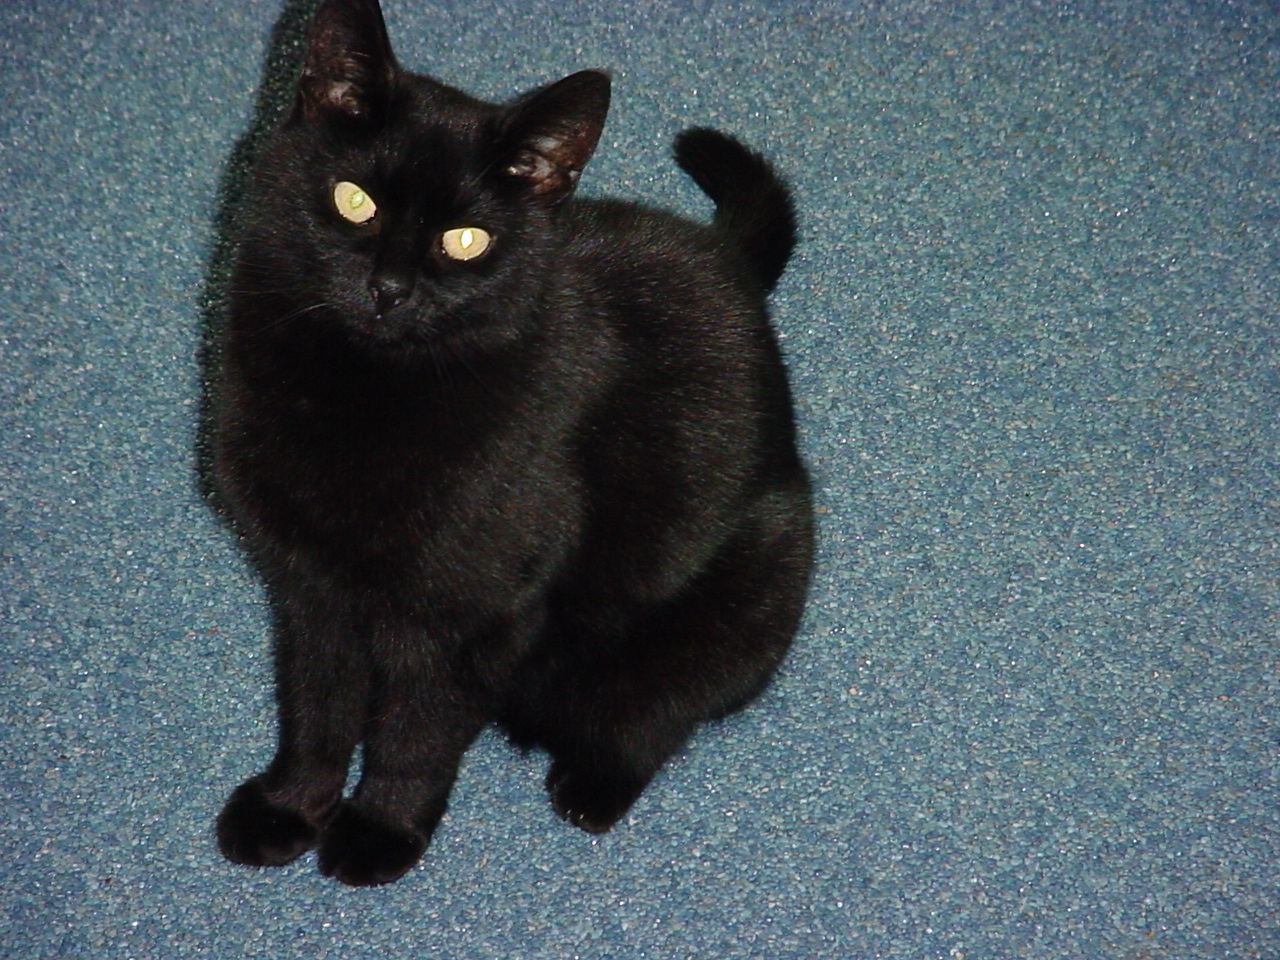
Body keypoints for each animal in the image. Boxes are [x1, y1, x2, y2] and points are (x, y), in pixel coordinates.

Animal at [211, 0, 814, 887]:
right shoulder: (310, 592)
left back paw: (593, 781)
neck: (360, 393)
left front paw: (379, 831)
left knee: (662, 709)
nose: (388, 289)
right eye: (354, 201)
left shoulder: (471, 618)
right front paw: (291, 808)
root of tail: (729, 262)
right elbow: (317, 711)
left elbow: (415, 735)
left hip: (745, 590)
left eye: (467, 240)